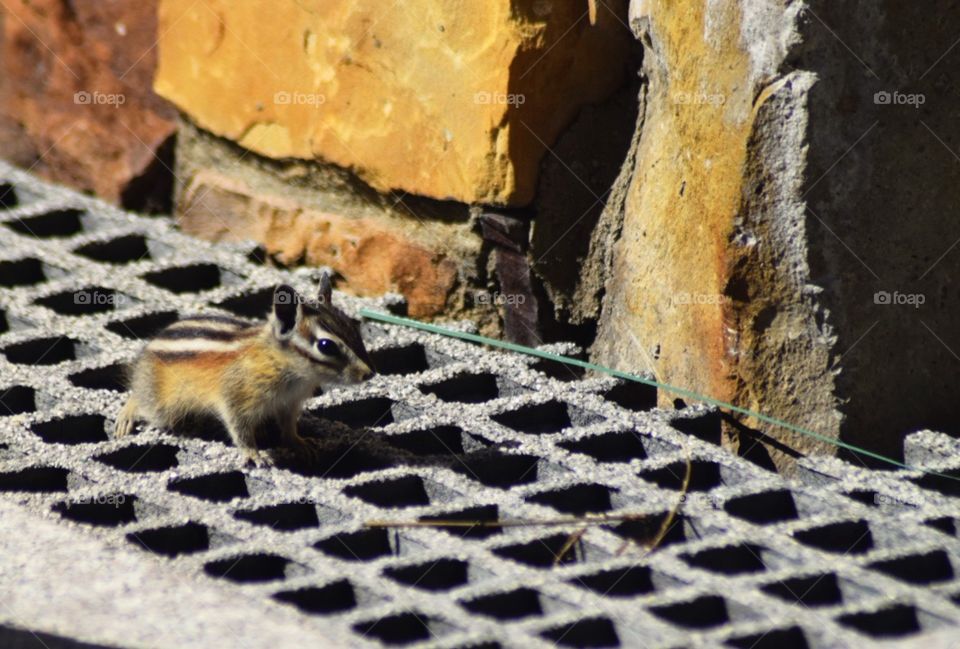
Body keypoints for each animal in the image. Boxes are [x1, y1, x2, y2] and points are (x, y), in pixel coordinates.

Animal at [113, 274, 374, 466]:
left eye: (354, 327)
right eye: (326, 346)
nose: (369, 373)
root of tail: (148, 350)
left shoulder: (290, 403)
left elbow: (288, 425)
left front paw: (298, 442)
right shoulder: (236, 398)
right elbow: (239, 428)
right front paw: (253, 453)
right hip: (161, 405)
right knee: (140, 398)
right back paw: (127, 414)